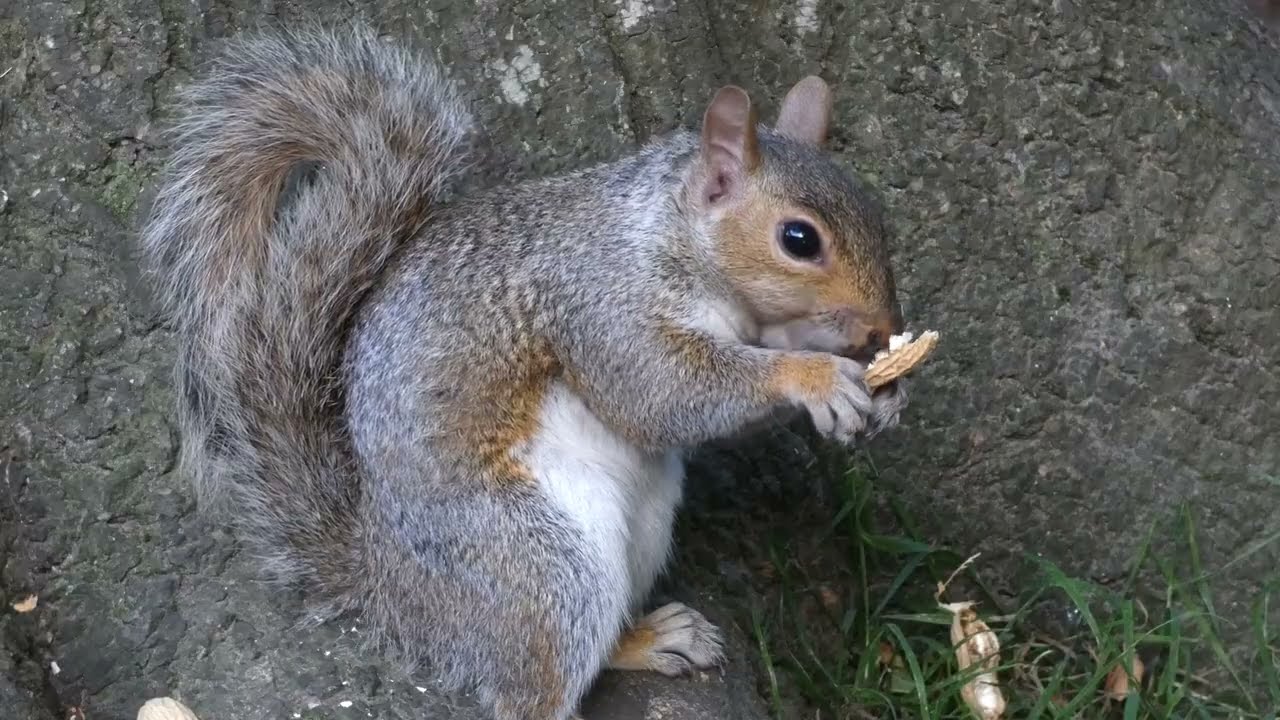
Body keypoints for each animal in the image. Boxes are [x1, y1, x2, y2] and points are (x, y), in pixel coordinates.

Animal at [138, 21, 910, 720]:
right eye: (799, 239)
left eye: (879, 215)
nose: (879, 326)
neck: (667, 233)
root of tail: (393, 593)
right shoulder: (598, 302)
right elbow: (660, 394)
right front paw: (814, 377)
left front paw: (885, 386)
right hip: (535, 566)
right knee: (535, 684)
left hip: (639, 528)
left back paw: (654, 637)